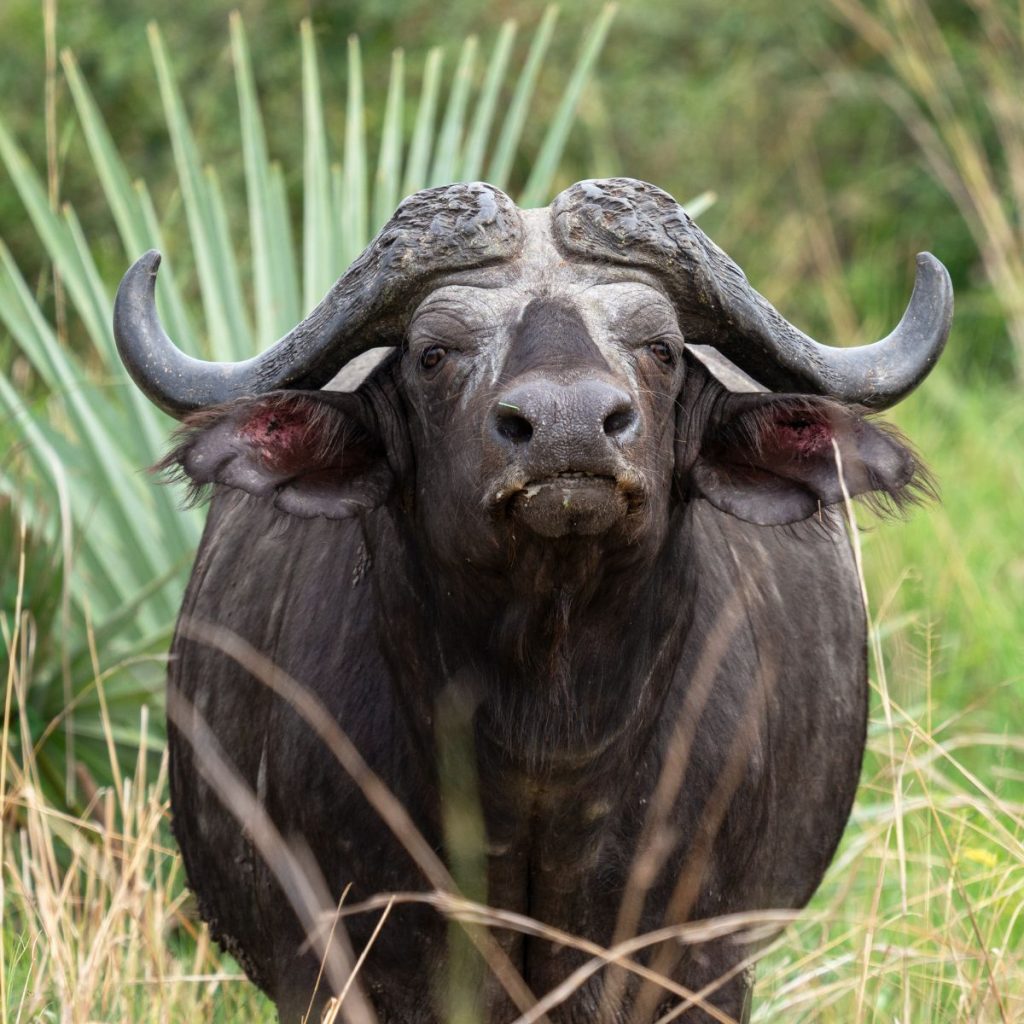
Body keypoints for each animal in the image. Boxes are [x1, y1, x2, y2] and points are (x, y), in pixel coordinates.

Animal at [114, 178, 950, 1024]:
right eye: (434, 353)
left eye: (662, 347)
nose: (568, 427)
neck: (546, 742)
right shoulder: (325, 966)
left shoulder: (706, 966)